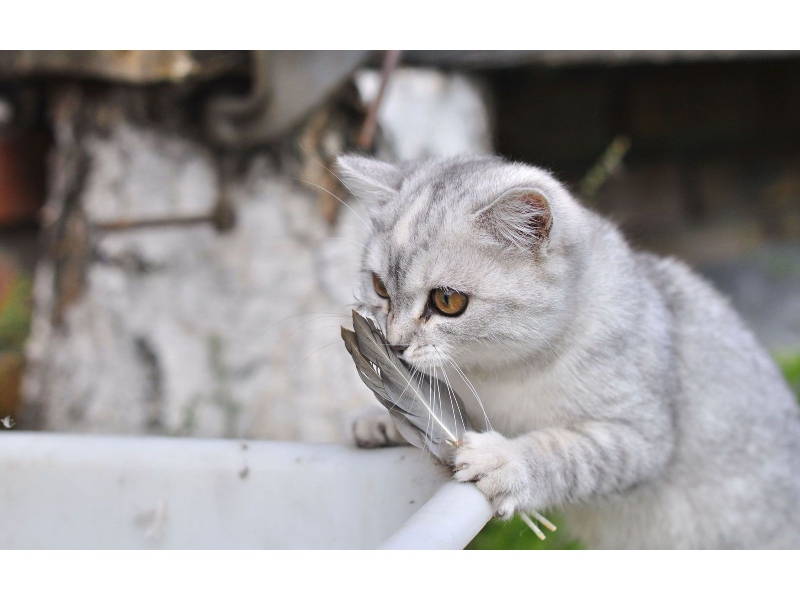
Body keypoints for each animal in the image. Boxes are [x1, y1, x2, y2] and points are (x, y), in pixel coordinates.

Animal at [334, 154, 800, 548]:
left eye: (448, 301)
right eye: (379, 287)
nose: (394, 343)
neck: (495, 373)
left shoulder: (640, 434)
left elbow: (565, 453)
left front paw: (507, 461)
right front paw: (381, 418)